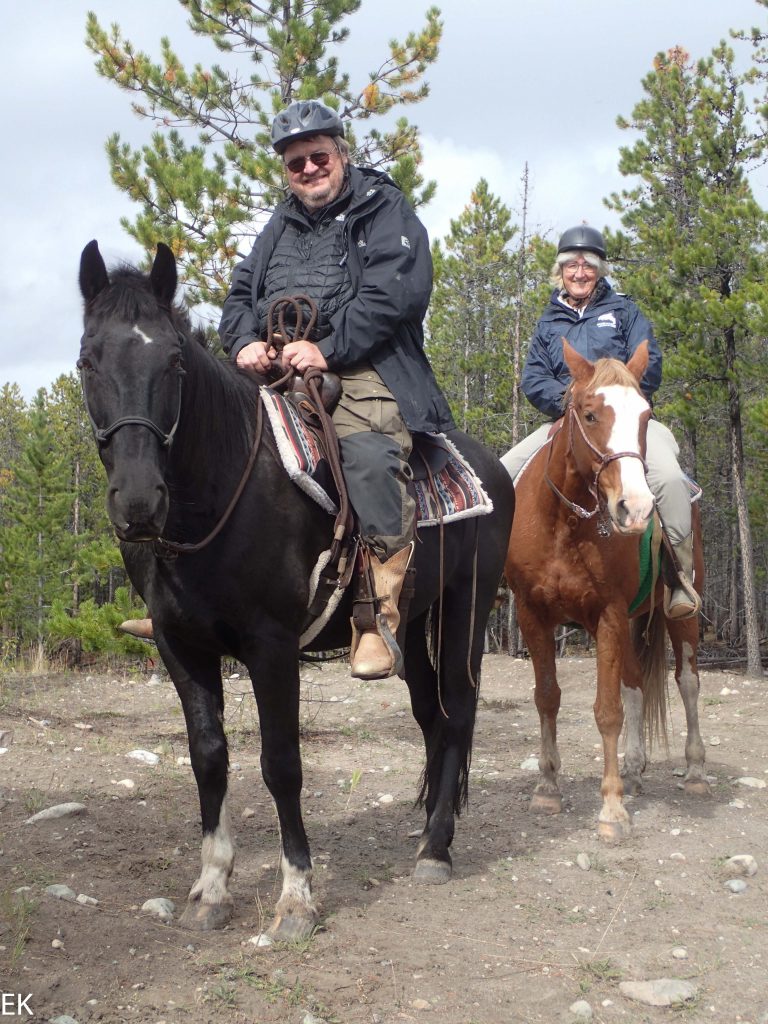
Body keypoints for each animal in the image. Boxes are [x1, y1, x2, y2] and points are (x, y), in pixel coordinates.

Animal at [78, 237, 518, 937]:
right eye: (87, 361)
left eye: (173, 361)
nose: (140, 502)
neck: (219, 490)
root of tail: (489, 467)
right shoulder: (181, 647)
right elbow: (208, 757)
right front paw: (212, 889)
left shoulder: (273, 648)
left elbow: (281, 764)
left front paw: (296, 898)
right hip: (412, 620)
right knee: (431, 715)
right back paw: (428, 831)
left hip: (464, 613)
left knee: (458, 711)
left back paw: (438, 850)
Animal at [505, 342, 708, 839]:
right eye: (590, 413)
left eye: (645, 414)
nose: (634, 508)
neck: (565, 523)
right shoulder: (533, 615)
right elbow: (548, 698)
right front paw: (547, 789)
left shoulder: (609, 614)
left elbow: (608, 710)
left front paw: (612, 808)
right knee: (636, 683)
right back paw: (634, 770)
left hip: (680, 614)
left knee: (688, 682)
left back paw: (695, 772)